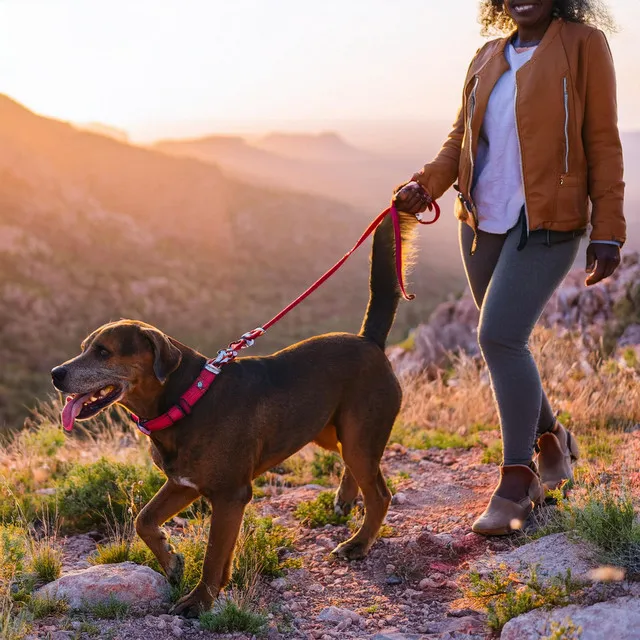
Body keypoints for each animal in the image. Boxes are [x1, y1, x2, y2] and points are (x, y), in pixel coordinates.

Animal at [51, 210, 420, 616]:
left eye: (104, 352)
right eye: (85, 347)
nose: (56, 374)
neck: (187, 399)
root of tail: (369, 341)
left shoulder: (230, 496)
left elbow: (214, 555)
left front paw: (198, 601)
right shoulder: (183, 484)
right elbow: (143, 519)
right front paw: (171, 560)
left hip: (359, 434)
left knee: (380, 494)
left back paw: (358, 543)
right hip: (330, 431)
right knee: (356, 469)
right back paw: (346, 497)